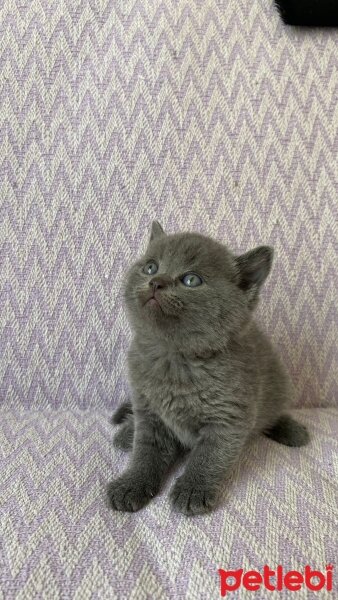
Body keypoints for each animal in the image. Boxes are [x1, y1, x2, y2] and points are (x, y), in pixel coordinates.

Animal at [107, 220, 308, 516]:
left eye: (191, 280)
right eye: (151, 267)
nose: (156, 282)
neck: (174, 358)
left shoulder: (229, 418)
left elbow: (209, 457)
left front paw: (193, 489)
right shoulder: (148, 410)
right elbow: (146, 452)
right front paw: (131, 484)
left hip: (278, 383)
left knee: (273, 411)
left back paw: (292, 430)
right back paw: (126, 432)